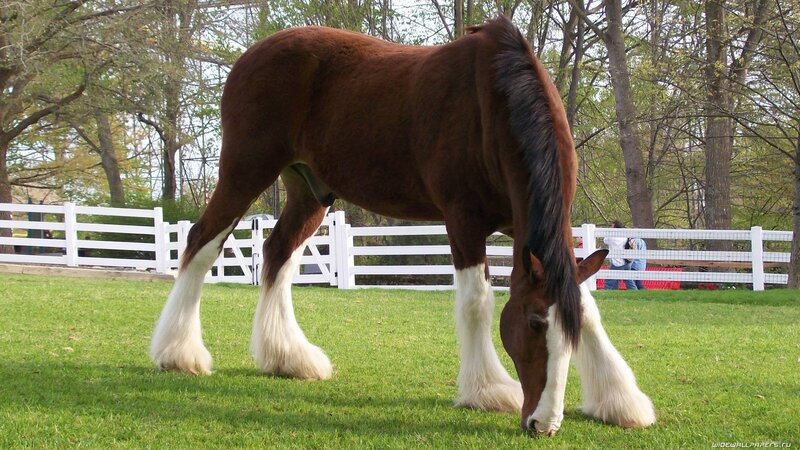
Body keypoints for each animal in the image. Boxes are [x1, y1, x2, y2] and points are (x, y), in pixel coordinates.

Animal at [149, 15, 655, 435]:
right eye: (532, 324)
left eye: (568, 334)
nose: (543, 424)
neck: (494, 104)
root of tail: (252, 54)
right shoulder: (463, 220)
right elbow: (477, 301)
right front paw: (488, 390)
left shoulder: (527, 229)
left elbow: (586, 304)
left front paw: (620, 401)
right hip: (245, 169)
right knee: (202, 243)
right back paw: (179, 353)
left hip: (309, 190)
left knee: (278, 253)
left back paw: (289, 359)